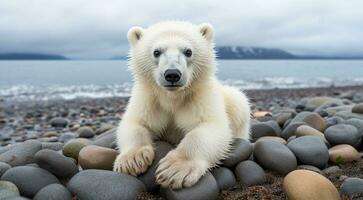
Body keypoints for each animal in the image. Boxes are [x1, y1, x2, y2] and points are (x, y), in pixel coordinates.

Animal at [115, 21, 252, 189]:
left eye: (188, 51)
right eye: (156, 52)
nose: (172, 74)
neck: (173, 97)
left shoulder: (199, 96)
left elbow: (211, 127)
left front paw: (174, 169)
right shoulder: (149, 99)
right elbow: (135, 123)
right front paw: (132, 160)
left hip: (233, 102)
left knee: (239, 102)